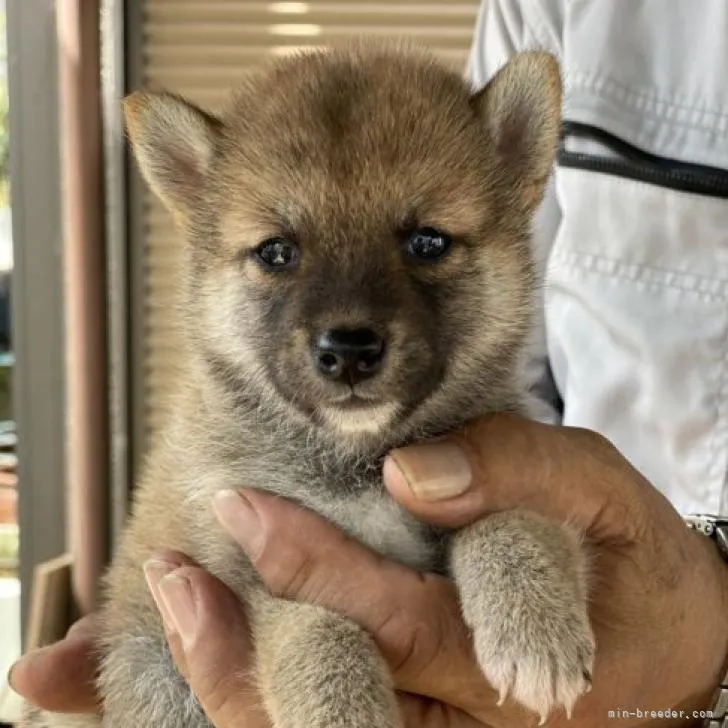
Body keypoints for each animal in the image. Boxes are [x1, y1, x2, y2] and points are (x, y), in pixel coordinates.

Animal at [22, 39, 596, 728]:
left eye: (428, 242)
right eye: (276, 252)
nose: (348, 351)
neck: (357, 463)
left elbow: (513, 520)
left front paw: (536, 622)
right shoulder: (253, 567)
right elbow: (321, 636)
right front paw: (343, 710)